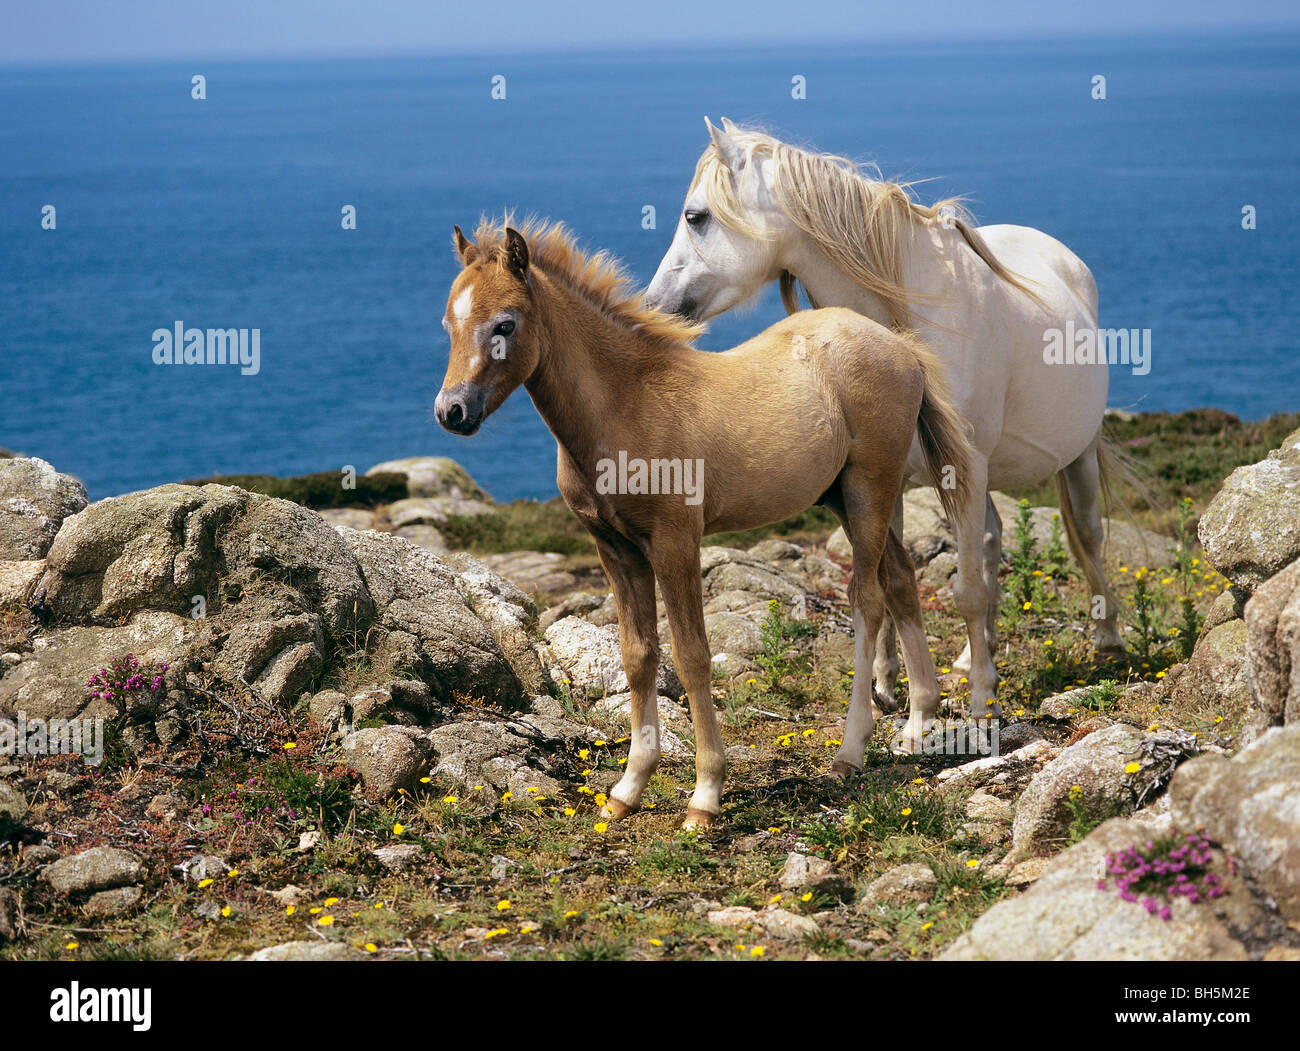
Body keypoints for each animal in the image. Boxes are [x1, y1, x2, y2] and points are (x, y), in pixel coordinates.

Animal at [431, 219, 972, 827]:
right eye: (449, 323)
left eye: (505, 323)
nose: (451, 411)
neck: (624, 406)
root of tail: (900, 345)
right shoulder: (615, 548)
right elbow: (638, 656)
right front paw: (628, 789)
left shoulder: (674, 541)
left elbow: (691, 656)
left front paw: (705, 795)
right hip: (842, 496)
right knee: (901, 578)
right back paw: (919, 722)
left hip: (868, 491)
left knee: (869, 601)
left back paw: (850, 753)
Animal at [644, 119, 1123, 718]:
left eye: (696, 216)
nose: (655, 305)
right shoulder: (884, 477)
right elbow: (890, 582)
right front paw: (889, 683)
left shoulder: (959, 469)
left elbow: (963, 590)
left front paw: (980, 701)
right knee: (991, 541)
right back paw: (974, 655)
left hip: (1072, 457)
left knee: (1087, 535)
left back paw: (1106, 642)